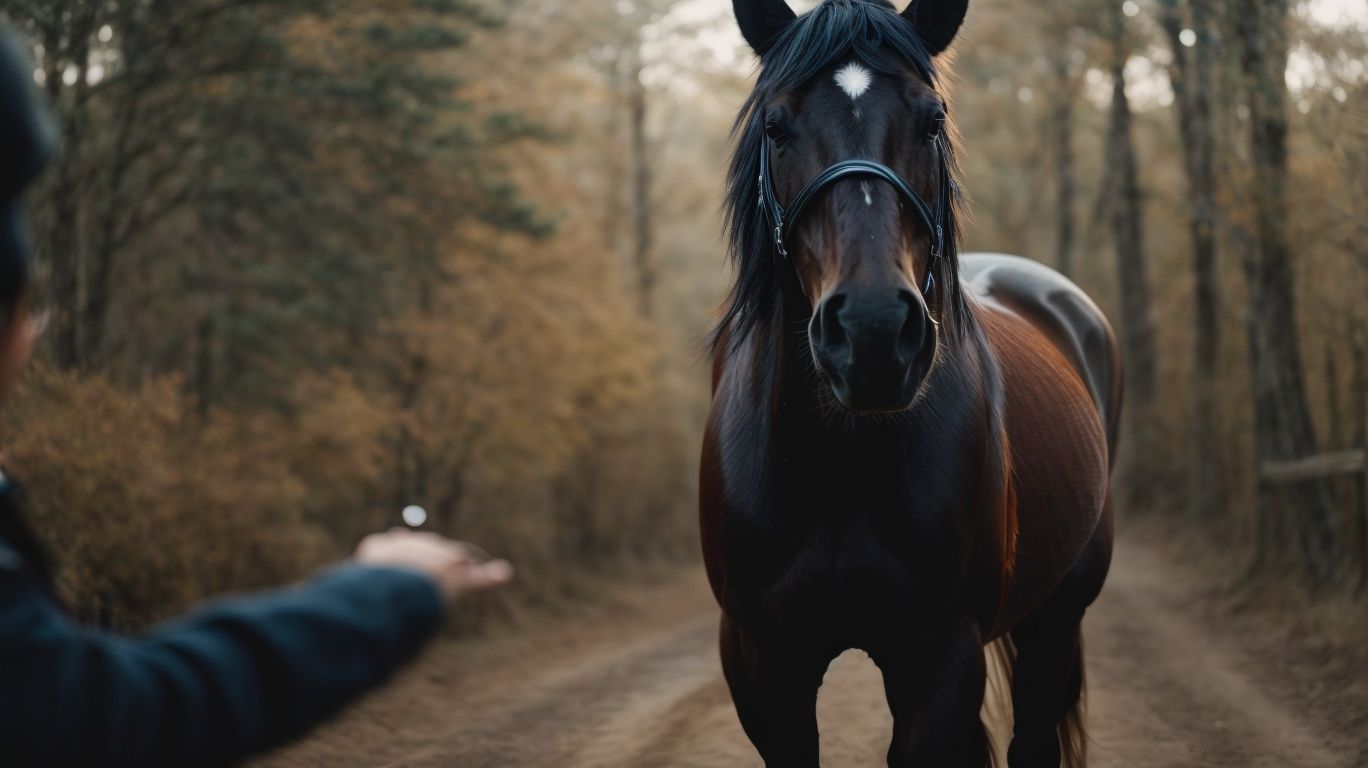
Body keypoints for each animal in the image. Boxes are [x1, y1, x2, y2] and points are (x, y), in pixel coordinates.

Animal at [699, 1, 1121, 766]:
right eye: (776, 127)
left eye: (932, 119)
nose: (872, 331)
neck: (837, 464)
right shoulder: (761, 664)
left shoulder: (939, 658)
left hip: (1056, 616)